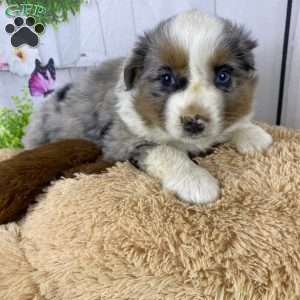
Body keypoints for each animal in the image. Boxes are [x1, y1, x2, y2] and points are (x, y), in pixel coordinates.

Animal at [22, 10, 272, 205]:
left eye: (223, 76)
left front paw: (252, 134)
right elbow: (167, 151)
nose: (193, 122)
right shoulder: (121, 140)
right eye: (166, 78)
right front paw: (197, 181)